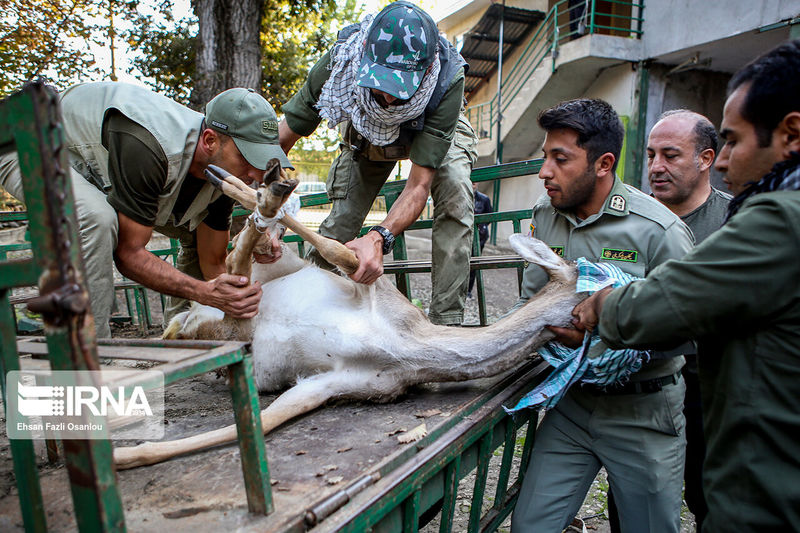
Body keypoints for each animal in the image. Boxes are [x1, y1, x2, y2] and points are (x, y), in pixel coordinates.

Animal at [112, 164, 580, 468]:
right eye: (592, 271)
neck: (406, 348)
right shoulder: (369, 283)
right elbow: (337, 248)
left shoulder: (333, 384)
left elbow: (262, 424)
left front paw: (122, 456)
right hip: (275, 272)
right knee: (238, 257)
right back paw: (254, 188)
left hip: (236, 319)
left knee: (230, 279)